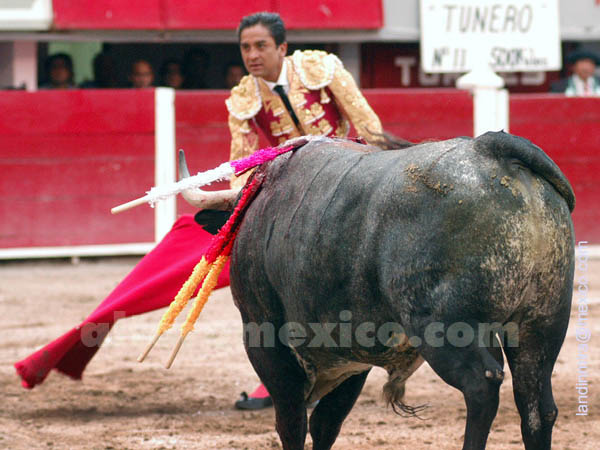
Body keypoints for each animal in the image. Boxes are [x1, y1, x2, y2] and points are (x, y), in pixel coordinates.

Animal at [226, 131, 576, 450]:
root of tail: (487, 146)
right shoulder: (351, 359)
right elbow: (325, 424)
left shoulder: (265, 338)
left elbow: (293, 425)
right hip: (543, 322)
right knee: (537, 405)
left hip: (442, 326)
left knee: (481, 388)